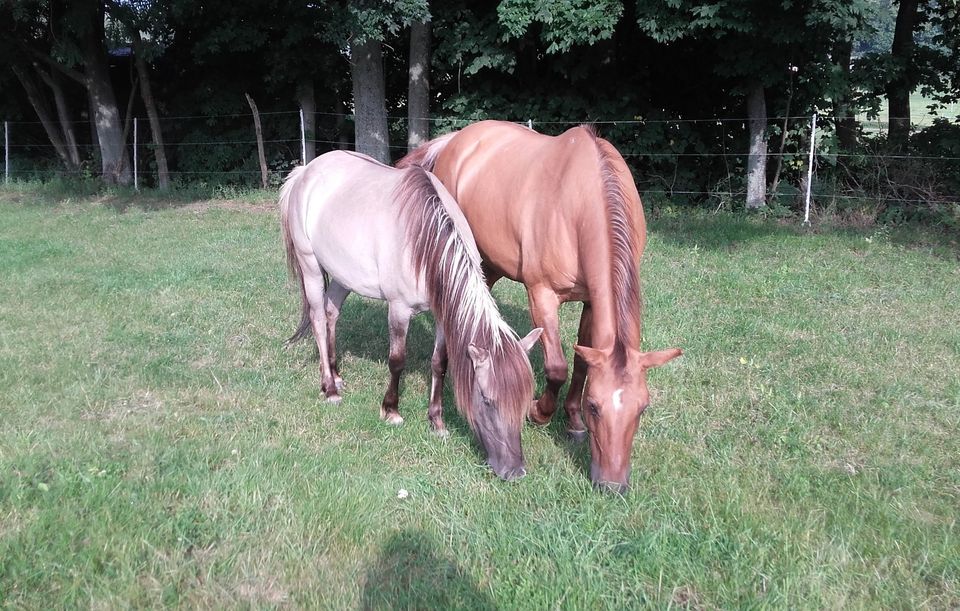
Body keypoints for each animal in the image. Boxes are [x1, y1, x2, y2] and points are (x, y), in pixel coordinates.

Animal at [282, 151, 544, 480]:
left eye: (524, 401)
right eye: (487, 399)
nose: (514, 471)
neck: (424, 241)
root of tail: (305, 171)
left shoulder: (443, 315)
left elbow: (439, 364)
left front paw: (437, 421)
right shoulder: (398, 309)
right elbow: (397, 361)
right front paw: (391, 410)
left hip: (344, 275)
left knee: (331, 312)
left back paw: (335, 373)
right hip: (311, 268)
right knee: (318, 319)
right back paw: (329, 389)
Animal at [398, 122, 684, 494]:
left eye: (642, 409)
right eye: (596, 407)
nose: (611, 486)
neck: (581, 200)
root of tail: (456, 139)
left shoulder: (591, 300)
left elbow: (581, 362)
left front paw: (572, 422)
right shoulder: (542, 295)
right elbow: (557, 368)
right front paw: (539, 412)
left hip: (490, 264)